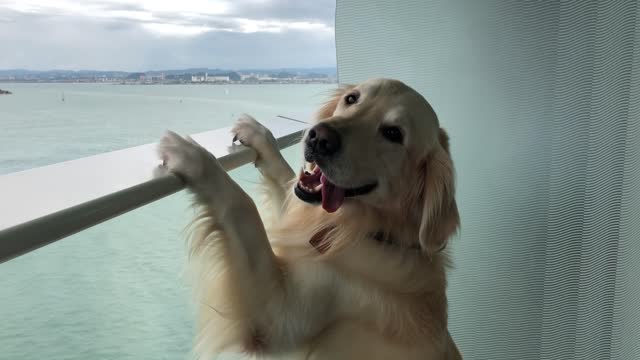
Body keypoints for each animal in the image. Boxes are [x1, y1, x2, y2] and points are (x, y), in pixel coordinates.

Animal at [158, 77, 462, 358]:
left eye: (393, 133)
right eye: (352, 98)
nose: (320, 137)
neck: (374, 234)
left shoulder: (280, 315)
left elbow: (242, 205)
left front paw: (194, 156)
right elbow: (285, 178)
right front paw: (259, 135)